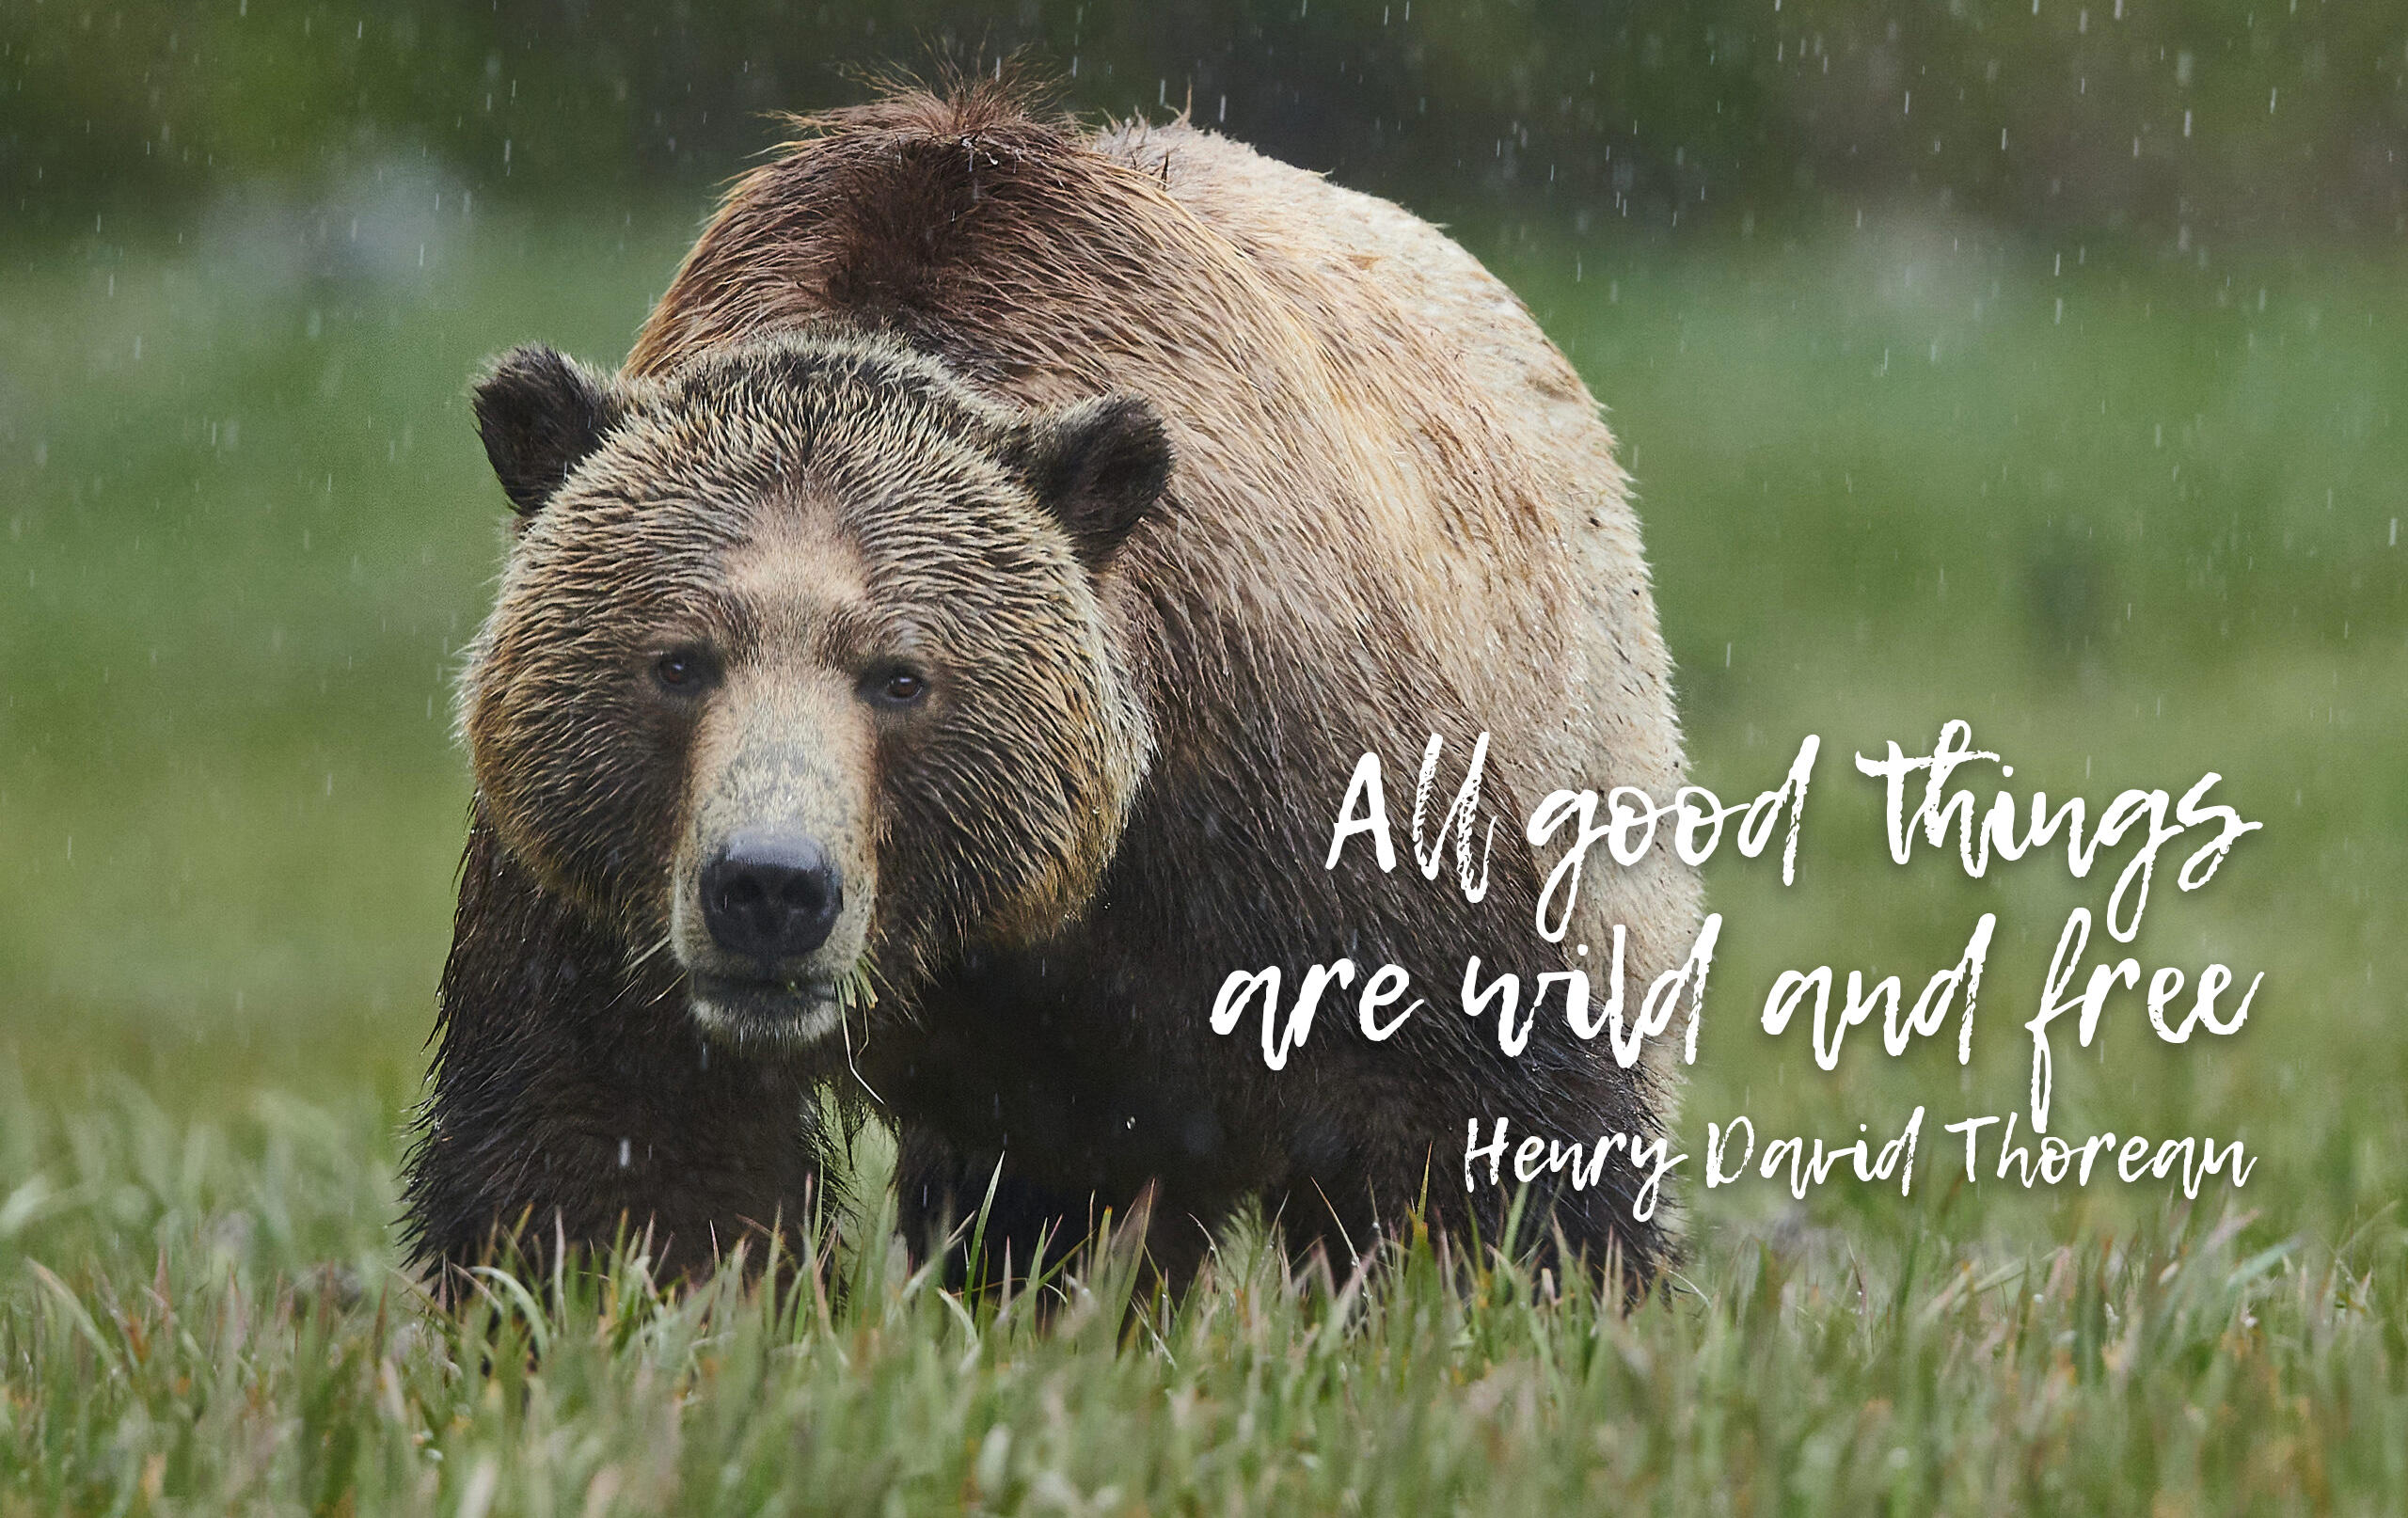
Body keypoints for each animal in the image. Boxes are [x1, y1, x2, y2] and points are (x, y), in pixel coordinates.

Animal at [401, 77, 1700, 1295]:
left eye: (901, 676)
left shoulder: (1286, 777)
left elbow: (1456, 1120)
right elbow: (610, 1159)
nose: (769, 887)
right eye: (678, 659)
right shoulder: (597, 893)